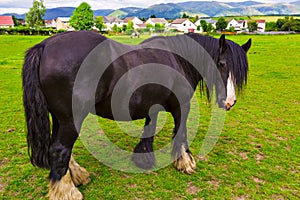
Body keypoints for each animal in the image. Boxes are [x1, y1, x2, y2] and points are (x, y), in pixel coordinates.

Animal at [22, 31, 251, 198]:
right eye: (221, 64)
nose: (229, 102)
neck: (178, 59)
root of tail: (45, 45)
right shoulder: (181, 107)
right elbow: (181, 133)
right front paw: (185, 163)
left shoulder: (152, 107)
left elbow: (149, 130)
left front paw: (143, 158)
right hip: (71, 120)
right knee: (59, 150)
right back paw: (68, 192)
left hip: (60, 118)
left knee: (59, 148)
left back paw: (77, 176)